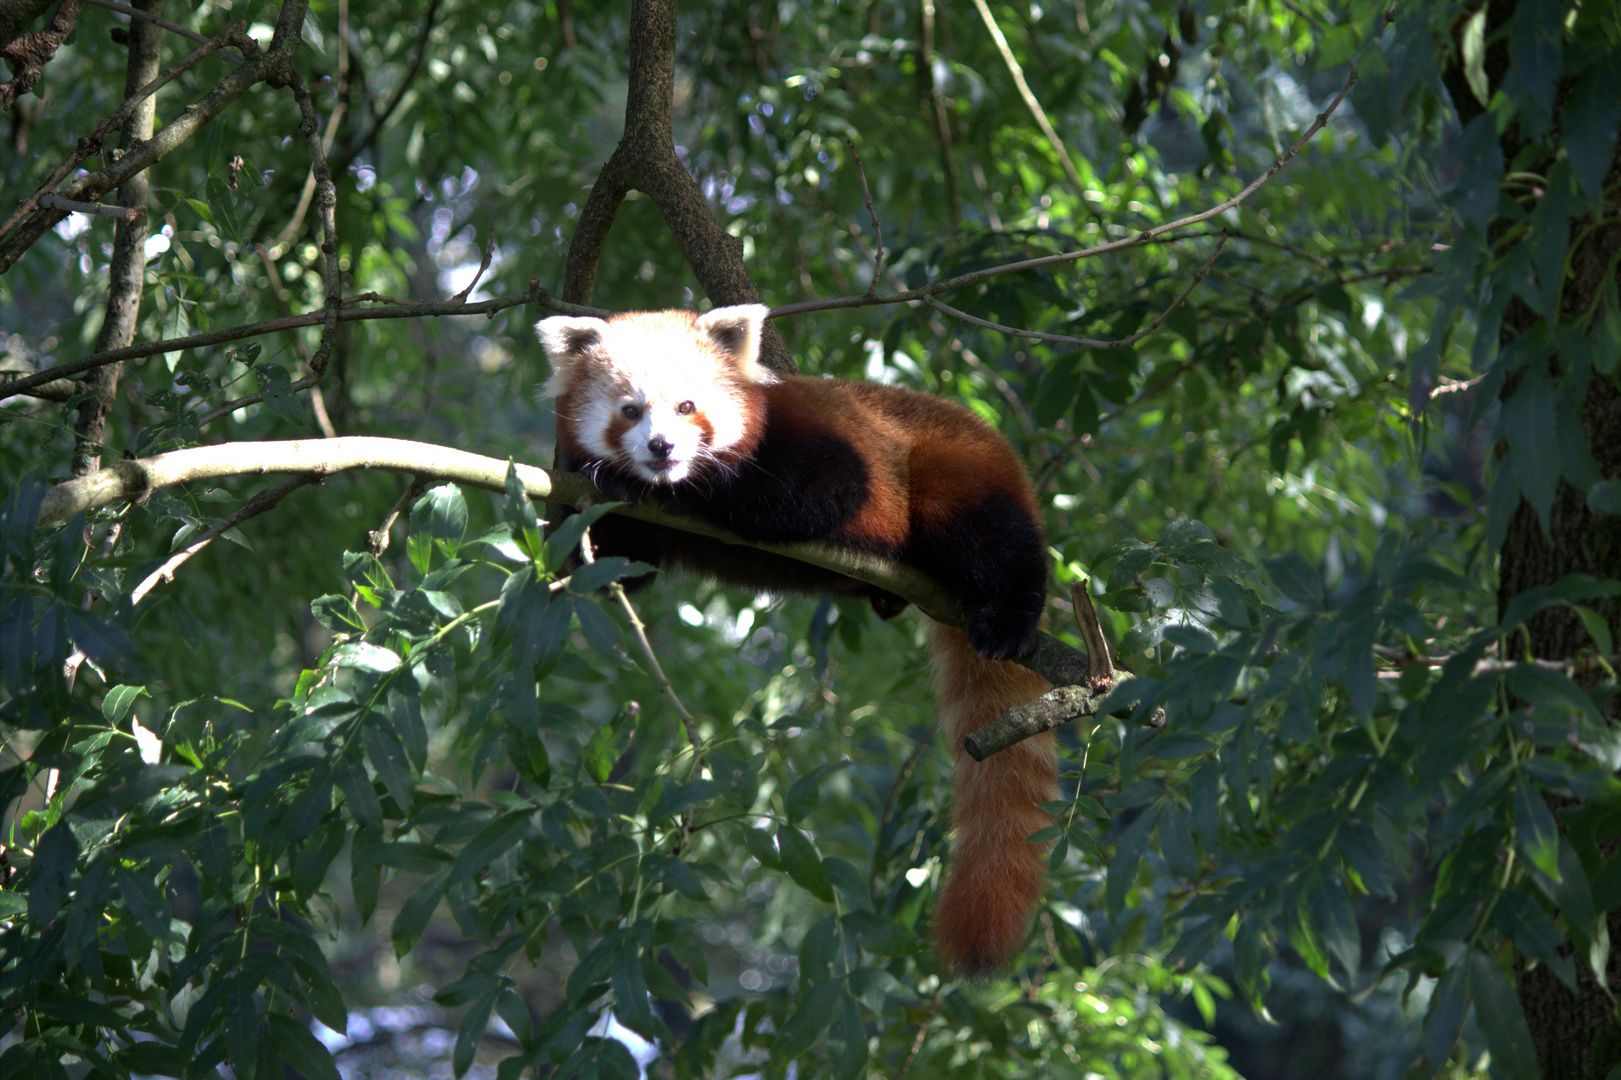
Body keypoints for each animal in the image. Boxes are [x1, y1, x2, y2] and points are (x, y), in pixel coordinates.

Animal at [538, 303, 1056, 972]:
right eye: (630, 409)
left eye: (686, 407)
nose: (661, 447)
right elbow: (617, 567)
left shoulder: (815, 443)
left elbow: (820, 491)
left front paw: (684, 487)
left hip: (953, 467)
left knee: (993, 540)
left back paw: (1010, 614)